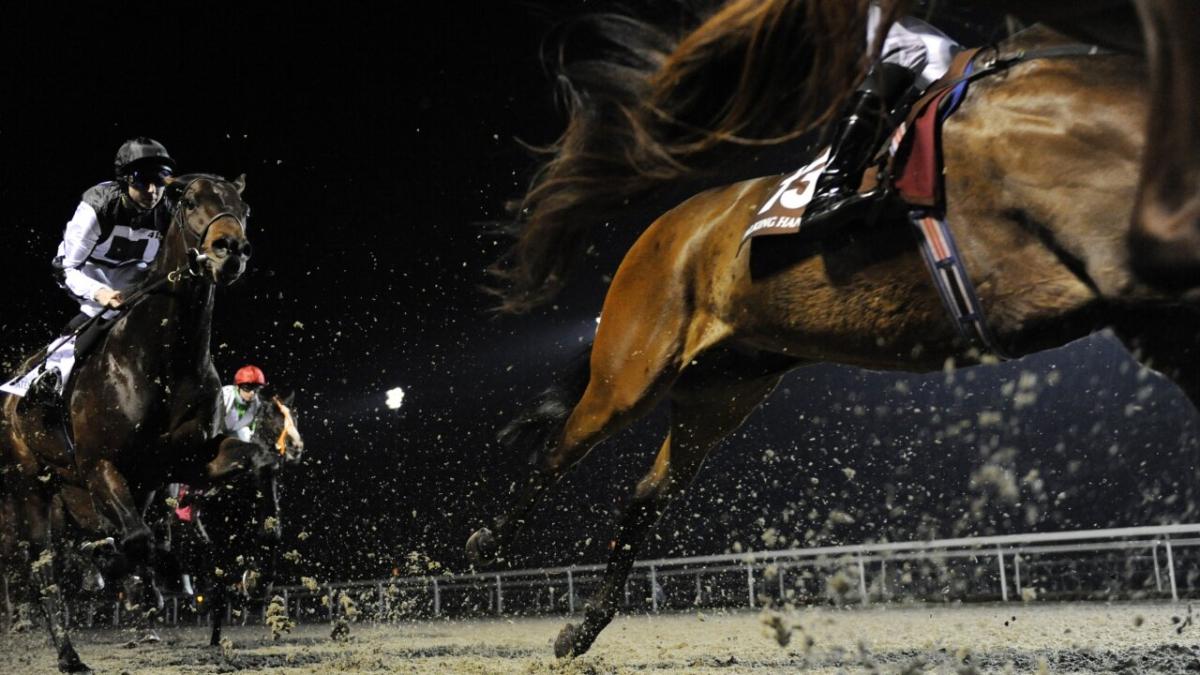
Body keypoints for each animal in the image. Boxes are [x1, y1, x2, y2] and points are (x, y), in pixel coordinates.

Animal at [0, 173, 279, 672]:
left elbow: (260, 459)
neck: (161, 359)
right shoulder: (99, 466)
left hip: (133, 487)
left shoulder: (182, 461)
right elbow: (136, 539)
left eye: (243, 206)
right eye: (189, 202)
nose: (231, 248)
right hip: (31, 484)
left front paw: (262, 559)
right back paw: (69, 653)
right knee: (43, 564)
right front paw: (148, 570)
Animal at [467, 22, 1200, 658]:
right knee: (560, 447)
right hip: (633, 365)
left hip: (722, 387)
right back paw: (486, 543)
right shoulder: (1128, 286)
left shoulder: (1148, 311)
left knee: (647, 492)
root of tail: (663, 229)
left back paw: (582, 626)